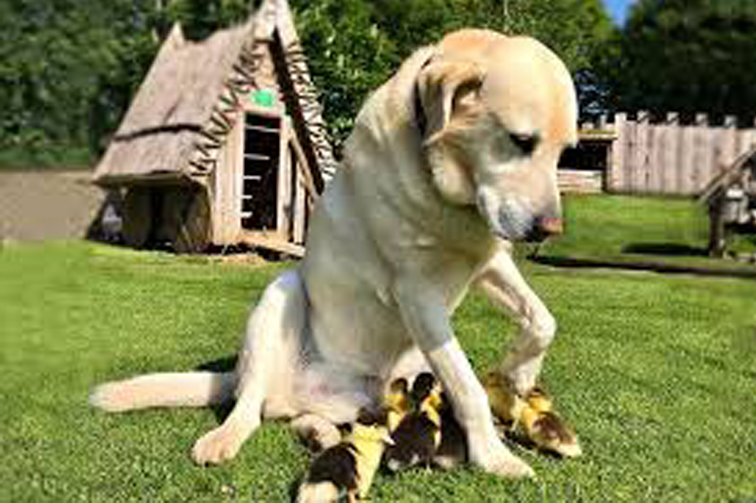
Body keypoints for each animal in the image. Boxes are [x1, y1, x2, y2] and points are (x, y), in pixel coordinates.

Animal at [91, 29, 576, 478]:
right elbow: (468, 384)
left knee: (301, 415)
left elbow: (543, 319)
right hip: (281, 293)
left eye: (564, 152)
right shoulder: (416, 292)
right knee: (253, 407)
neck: (446, 189)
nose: (549, 228)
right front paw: (494, 456)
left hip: (389, 380)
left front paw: (519, 373)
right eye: (521, 141)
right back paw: (224, 437)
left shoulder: (490, 262)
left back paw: (321, 435)